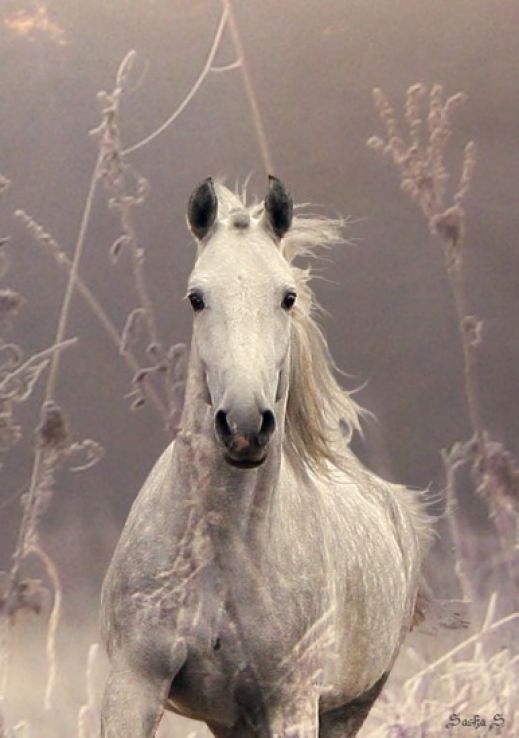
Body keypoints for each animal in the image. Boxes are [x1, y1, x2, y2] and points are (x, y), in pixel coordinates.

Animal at [100, 176, 435, 738]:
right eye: (196, 297)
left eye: (287, 296)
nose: (243, 426)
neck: (220, 556)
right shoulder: (133, 683)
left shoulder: (292, 701)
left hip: (348, 707)